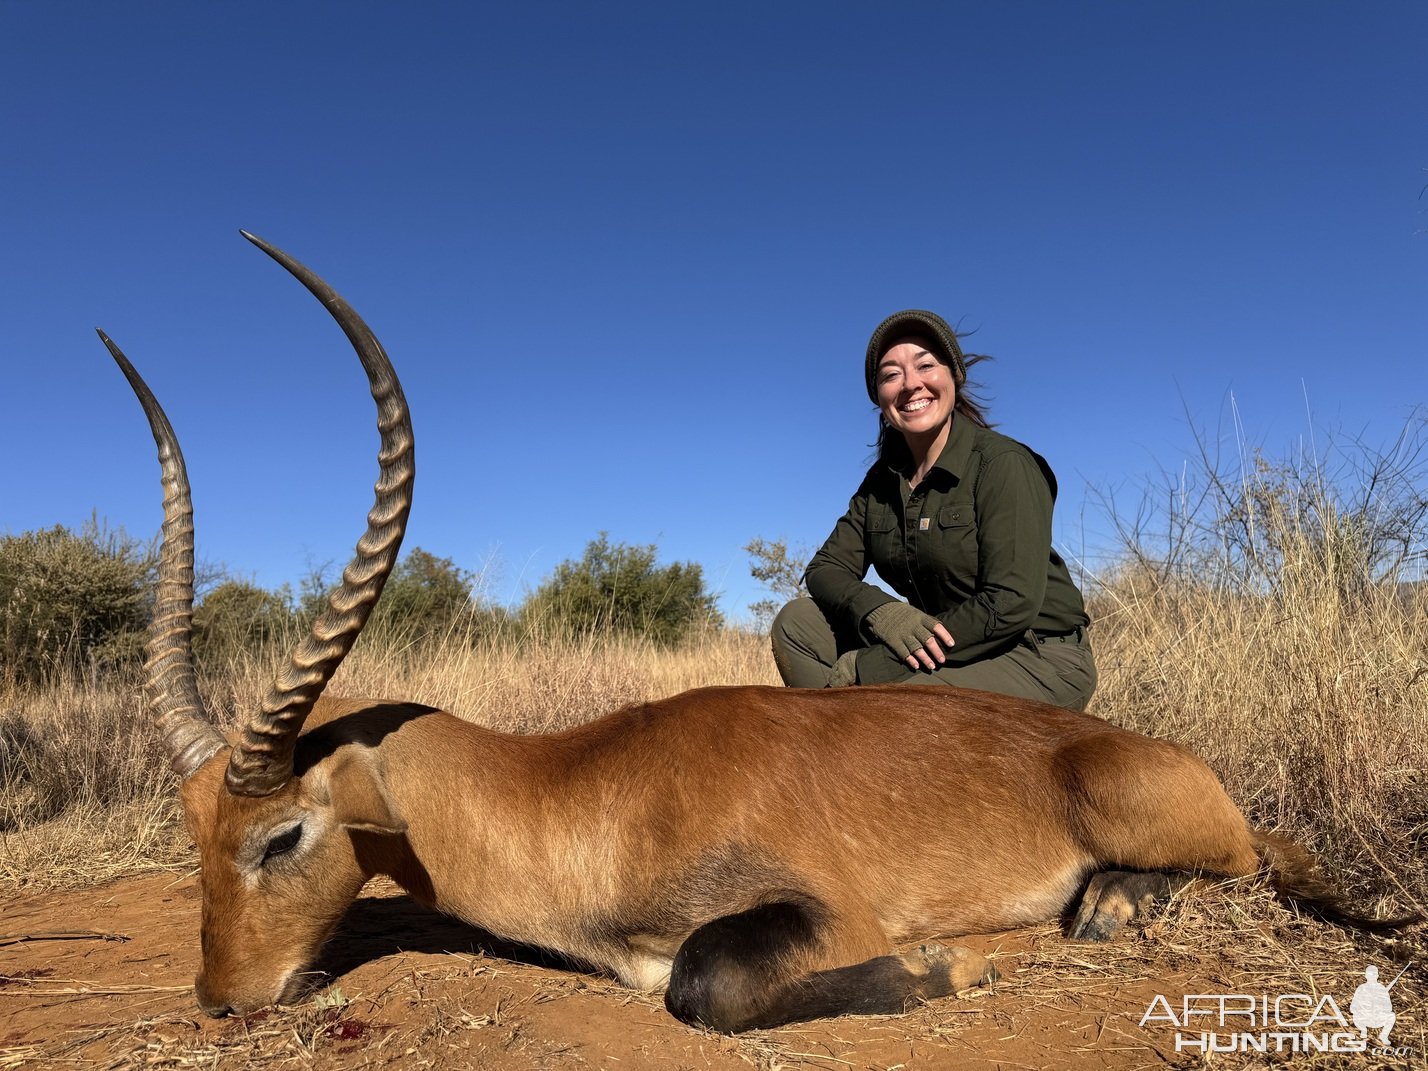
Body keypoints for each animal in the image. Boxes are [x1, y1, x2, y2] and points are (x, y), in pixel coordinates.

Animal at [103, 232, 1416, 1033]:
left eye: (280, 835)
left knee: (1230, 869)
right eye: (192, 832)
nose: (221, 997)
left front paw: (951, 964)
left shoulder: (813, 915)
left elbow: (706, 983)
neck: (586, 787)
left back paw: (1110, 907)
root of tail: (1172, 758)